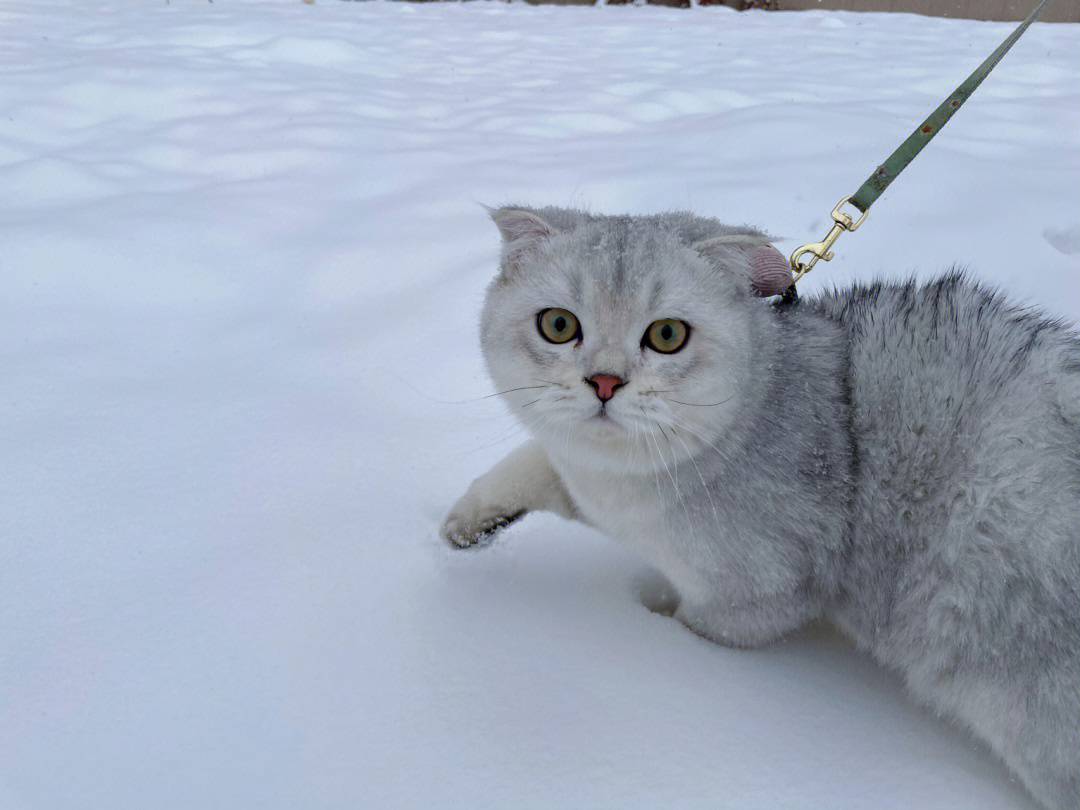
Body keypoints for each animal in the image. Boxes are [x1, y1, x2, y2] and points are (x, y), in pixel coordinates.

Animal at [440, 204, 1080, 810]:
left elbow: (701, 624)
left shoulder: (761, 593)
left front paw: (655, 630)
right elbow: (535, 463)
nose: (603, 382)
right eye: (558, 325)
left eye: (667, 334)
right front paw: (468, 522)